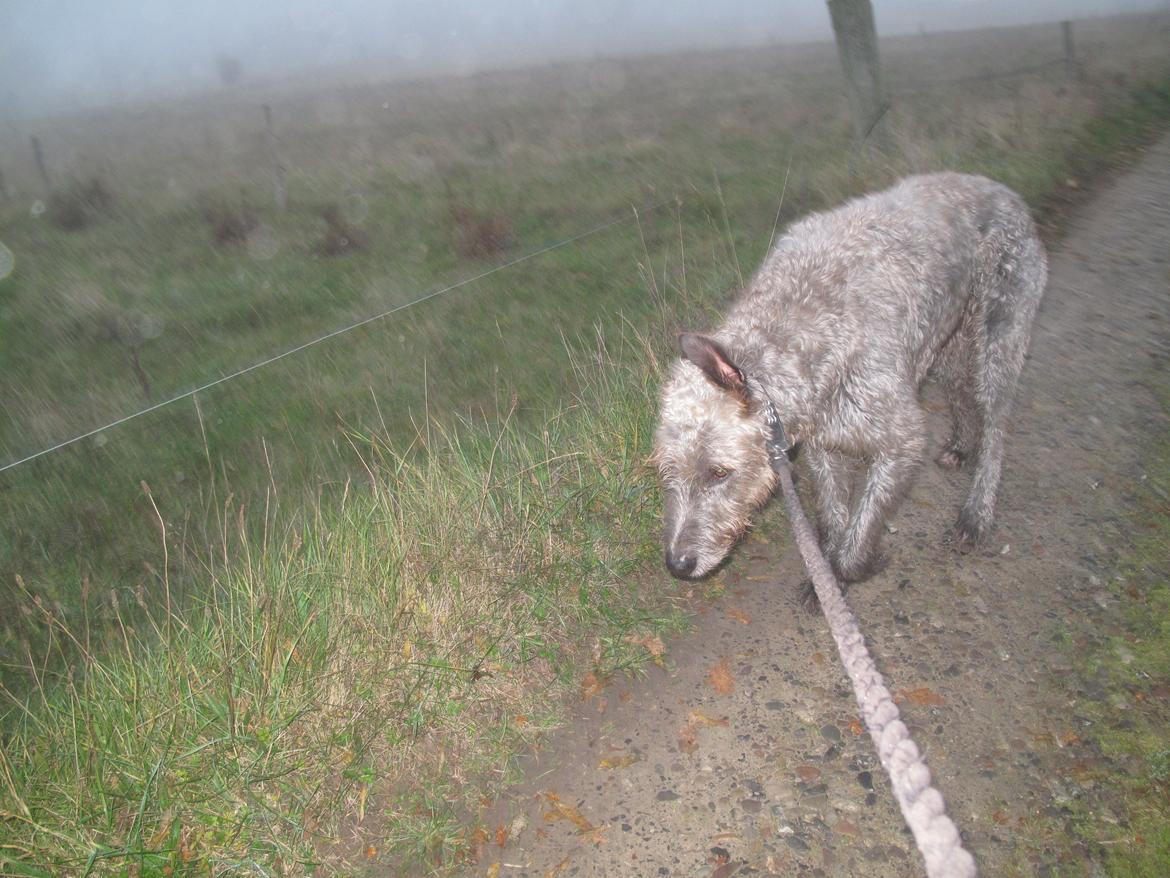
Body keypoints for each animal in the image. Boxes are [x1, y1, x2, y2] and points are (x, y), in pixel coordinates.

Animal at [655, 172, 1048, 585]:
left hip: (999, 337)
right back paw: (959, 445)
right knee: (959, 390)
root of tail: (1001, 190)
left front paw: (848, 568)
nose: (678, 564)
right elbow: (833, 510)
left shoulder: (902, 442)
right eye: (668, 469)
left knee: (995, 426)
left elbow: (866, 518)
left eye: (718, 473)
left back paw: (977, 512)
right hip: (947, 339)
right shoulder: (822, 442)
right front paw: (828, 570)